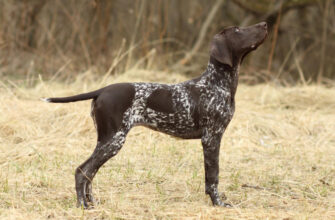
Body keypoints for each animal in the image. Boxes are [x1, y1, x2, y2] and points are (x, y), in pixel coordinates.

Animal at [42, 21, 268, 208]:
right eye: (237, 30)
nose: (265, 24)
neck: (216, 83)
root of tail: (102, 90)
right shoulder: (211, 138)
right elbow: (213, 177)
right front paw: (218, 203)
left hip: (107, 141)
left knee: (90, 173)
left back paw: (92, 202)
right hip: (113, 140)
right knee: (82, 171)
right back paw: (82, 205)